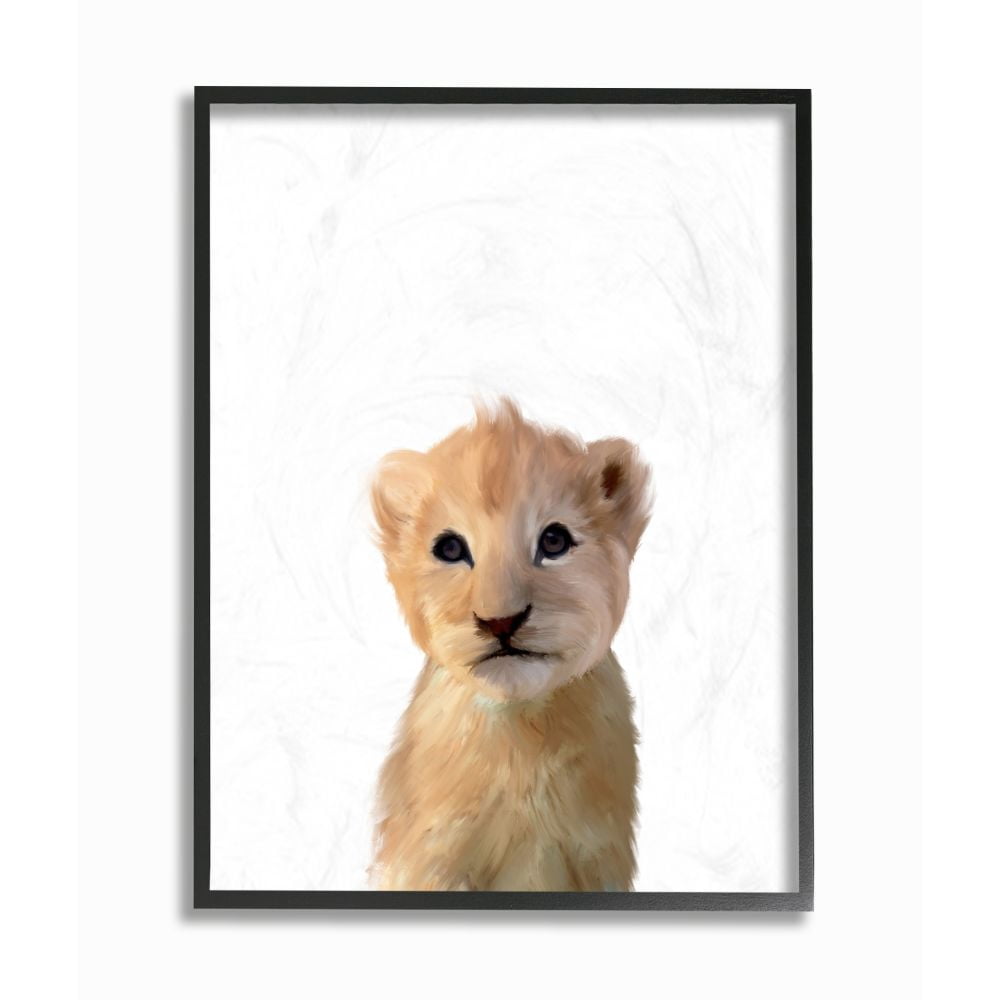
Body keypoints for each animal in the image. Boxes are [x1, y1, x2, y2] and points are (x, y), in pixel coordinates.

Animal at [369, 397, 652, 891]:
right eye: (449, 549)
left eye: (554, 540)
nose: (500, 620)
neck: (520, 736)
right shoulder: (430, 857)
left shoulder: (599, 856)